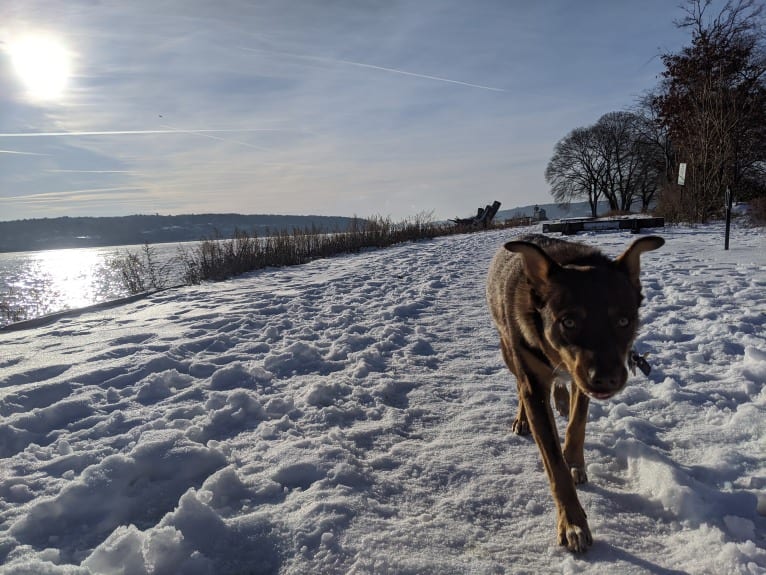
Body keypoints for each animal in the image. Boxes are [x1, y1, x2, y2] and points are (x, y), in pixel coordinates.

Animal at [488, 234, 664, 552]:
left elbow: (577, 423)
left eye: (624, 321)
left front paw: (574, 461)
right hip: (508, 350)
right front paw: (573, 524)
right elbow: (554, 464)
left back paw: (559, 398)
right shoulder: (535, 380)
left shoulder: (580, 378)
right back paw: (523, 417)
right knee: (519, 384)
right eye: (568, 322)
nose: (607, 379)